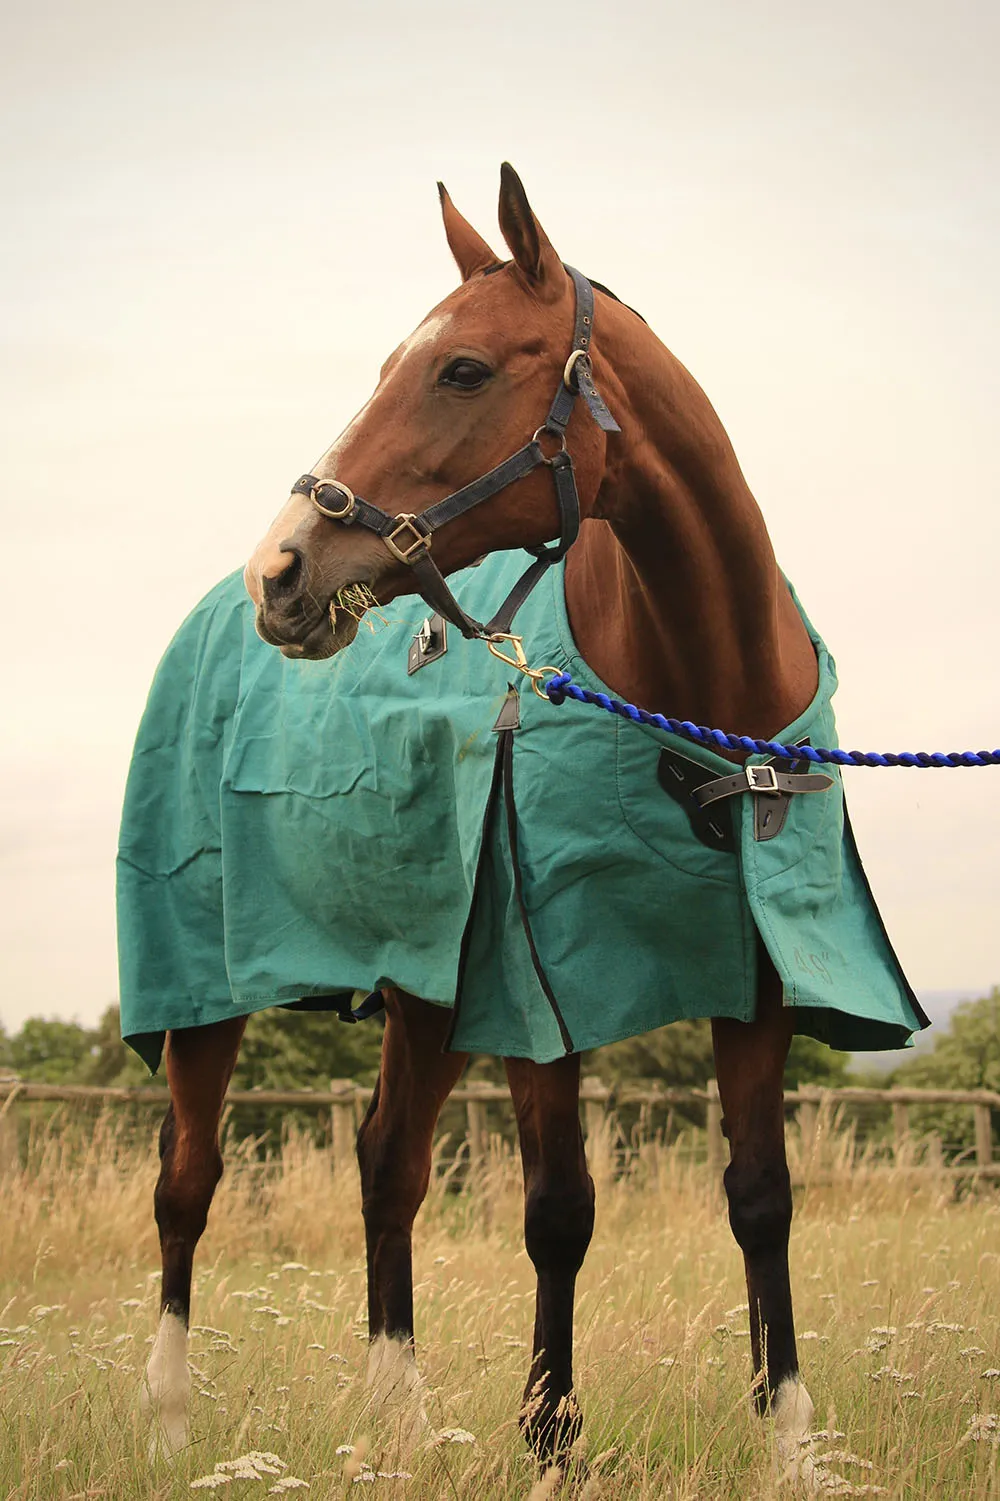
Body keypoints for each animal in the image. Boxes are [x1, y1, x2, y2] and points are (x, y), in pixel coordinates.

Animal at [134, 161, 918, 1464]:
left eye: (460, 368)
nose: (281, 572)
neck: (698, 698)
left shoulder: (758, 980)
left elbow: (761, 1199)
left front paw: (791, 1442)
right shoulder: (541, 980)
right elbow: (559, 1209)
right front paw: (548, 1440)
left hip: (425, 992)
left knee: (386, 1163)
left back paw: (396, 1419)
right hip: (206, 993)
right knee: (186, 1181)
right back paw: (173, 1417)